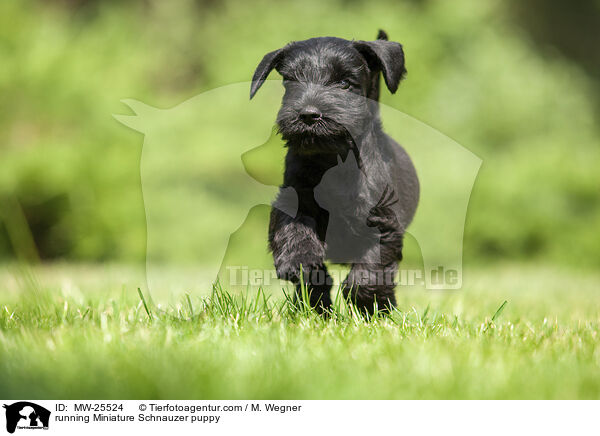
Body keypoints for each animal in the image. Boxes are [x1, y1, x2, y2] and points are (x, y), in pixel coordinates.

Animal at [248, 30, 418, 316]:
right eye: (290, 81)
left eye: (344, 83)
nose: (308, 114)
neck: (333, 161)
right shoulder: (295, 197)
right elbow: (294, 229)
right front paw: (299, 260)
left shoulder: (384, 221)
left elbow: (371, 268)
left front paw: (367, 304)